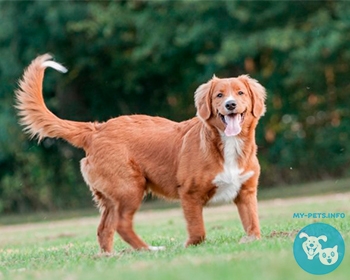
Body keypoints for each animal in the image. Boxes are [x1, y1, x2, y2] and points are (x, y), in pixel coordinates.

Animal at [15, 53, 266, 253]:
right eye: (219, 96)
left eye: (240, 93)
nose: (231, 105)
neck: (226, 144)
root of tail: (96, 129)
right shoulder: (190, 194)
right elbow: (198, 231)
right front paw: (189, 246)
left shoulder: (246, 192)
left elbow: (253, 224)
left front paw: (251, 240)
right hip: (130, 187)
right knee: (122, 225)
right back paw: (149, 250)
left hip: (112, 196)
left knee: (104, 229)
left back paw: (110, 257)